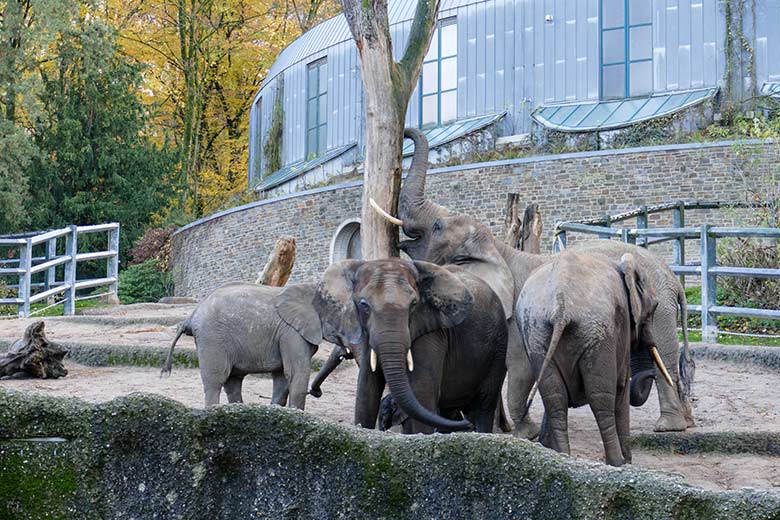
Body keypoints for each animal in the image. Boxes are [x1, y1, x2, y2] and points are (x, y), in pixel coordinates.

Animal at [162, 282, 326, 408]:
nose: (316, 392)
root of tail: (192, 316)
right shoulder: (292, 332)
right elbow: (297, 372)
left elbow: (283, 376)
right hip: (212, 338)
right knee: (216, 381)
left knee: (233, 382)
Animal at [314, 258, 508, 432]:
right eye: (363, 304)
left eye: (414, 304)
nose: (317, 393)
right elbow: (366, 392)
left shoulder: (432, 333)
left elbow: (422, 394)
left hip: (498, 347)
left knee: (483, 405)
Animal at [372, 127, 696, 434]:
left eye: (437, 226)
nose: (405, 132)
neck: (496, 249)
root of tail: (673, 278)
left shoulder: (515, 318)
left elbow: (518, 366)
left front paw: (521, 433)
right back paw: (687, 421)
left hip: (660, 310)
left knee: (663, 356)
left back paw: (668, 426)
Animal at [516, 252, 672, 468]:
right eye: (654, 306)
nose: (653, 375)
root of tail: (561, 305)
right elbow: (621, 387)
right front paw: (628, 462)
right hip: (598, 333)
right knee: (600, 396)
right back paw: (616, 462)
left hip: (536, 331)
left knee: (554, 396)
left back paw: (563, 455)